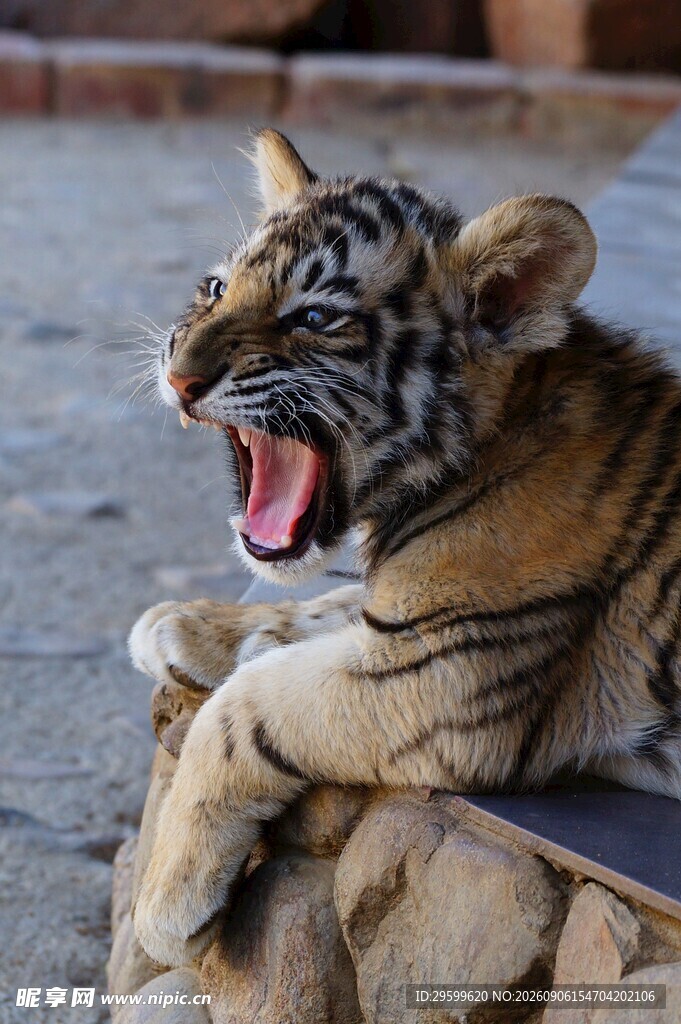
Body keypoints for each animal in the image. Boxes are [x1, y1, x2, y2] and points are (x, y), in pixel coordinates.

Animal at [129, 128, 681, 968]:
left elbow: (245, 706)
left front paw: (168, 901)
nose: (180, 375)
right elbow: (323, 601)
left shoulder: (447, 679)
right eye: (217, 287)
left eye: (313, 315)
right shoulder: (412, 618)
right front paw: (189, 625)